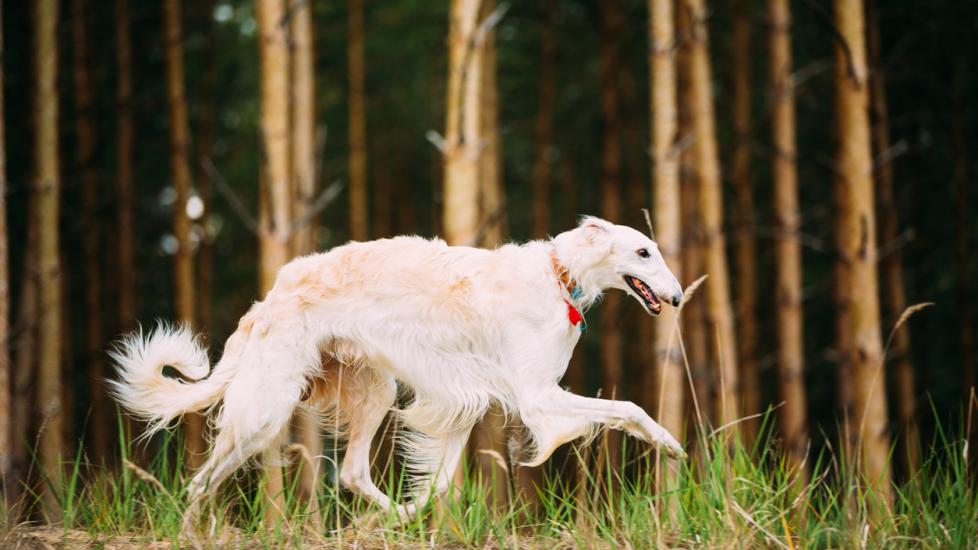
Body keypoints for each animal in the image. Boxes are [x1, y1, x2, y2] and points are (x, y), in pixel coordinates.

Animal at [110, 216, 684, 528]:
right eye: (643, 251)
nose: (679, 297)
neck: (557, 276)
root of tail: (268, 298)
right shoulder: (536, 395)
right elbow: (627, 407)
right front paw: (672, 445)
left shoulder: (466, 399)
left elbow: (439, 486)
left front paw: (415, 514)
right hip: (266, 408)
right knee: (199, 483)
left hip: (374, 390)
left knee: (351, 472)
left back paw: (389, 516)